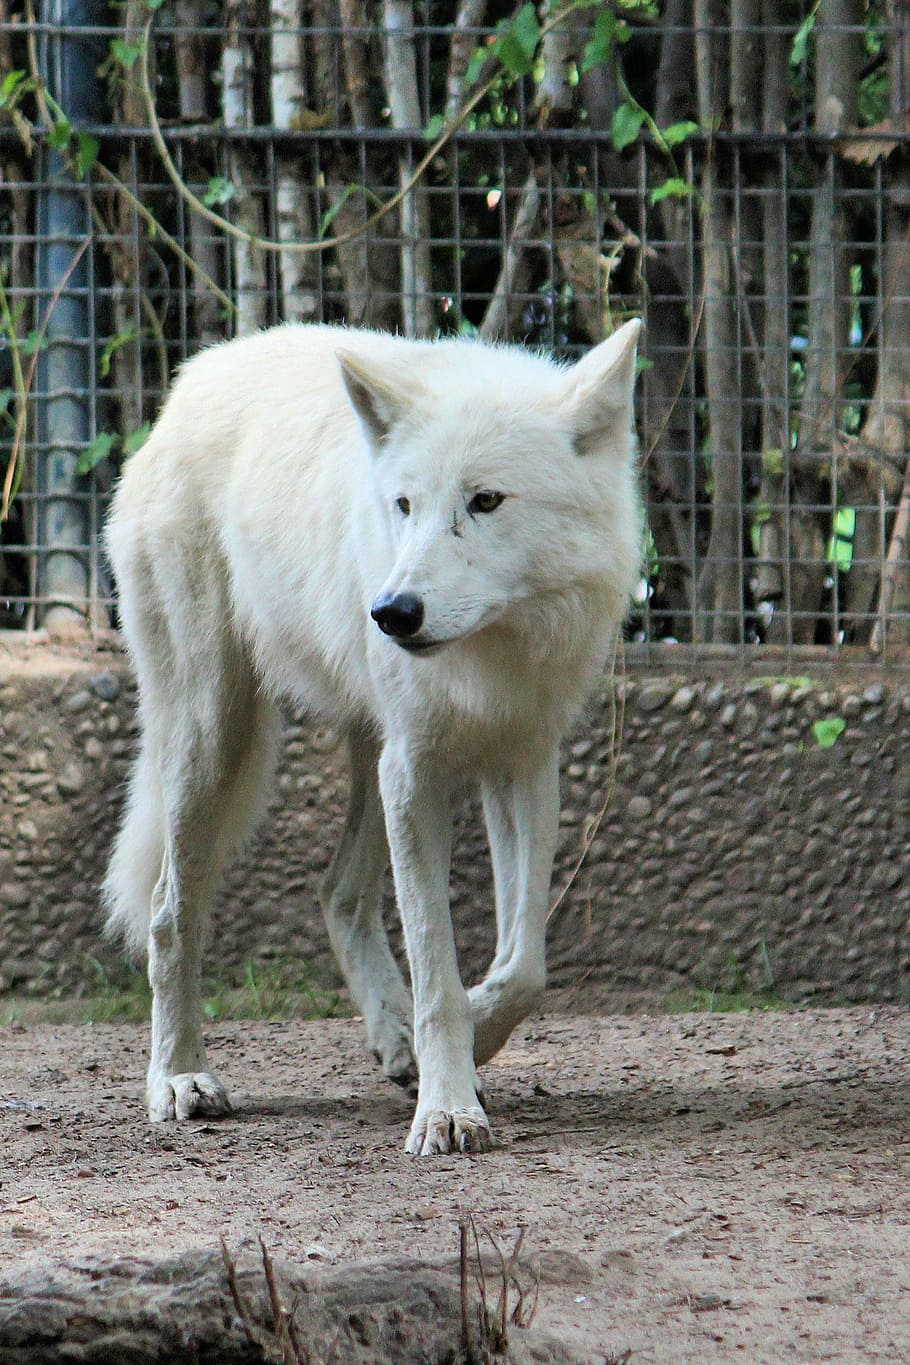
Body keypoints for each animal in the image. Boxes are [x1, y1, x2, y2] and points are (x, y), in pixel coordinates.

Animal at [103, 316, 643, 1152]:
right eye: (404, 505)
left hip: (365, 748)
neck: (491, 653)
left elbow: (524, 966)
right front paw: (448, 1108)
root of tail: (187, 384)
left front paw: (462, 1045)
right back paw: (180, 1077)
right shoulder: (416, 771)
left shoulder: (520, 760)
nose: (393, 612)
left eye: (486, 500)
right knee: (168, 913)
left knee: (338, 892)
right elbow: (436, 966)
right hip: (212, 740)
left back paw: (390, 1036)